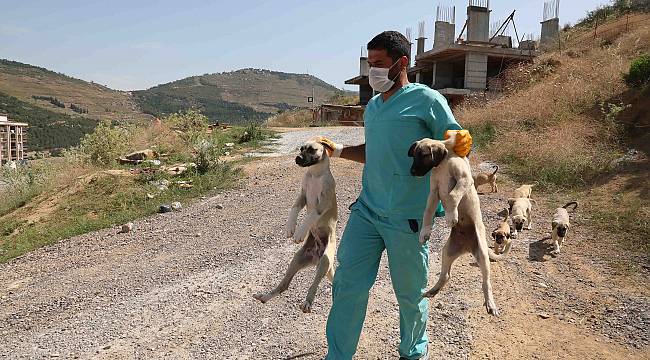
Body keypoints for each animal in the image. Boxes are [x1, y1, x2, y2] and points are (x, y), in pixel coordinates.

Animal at [252, 138, 336, 312]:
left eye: (312, 150)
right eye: (301, 148)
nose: (297, 158)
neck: (315, 174)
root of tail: (316, 256)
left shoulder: (322, 204)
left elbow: (310, 215)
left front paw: (300, 233)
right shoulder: (302, 196)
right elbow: (294, 209)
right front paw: (290, 228)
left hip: (324, 261)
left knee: (314, 284)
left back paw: (307, 302)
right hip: (296, 261)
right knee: (284, 286)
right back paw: (265, 296)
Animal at [408, 131, 498, 316]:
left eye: (424, 155)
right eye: (414, 155)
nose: (412, 172)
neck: (443, 163)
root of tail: (467, 246)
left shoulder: (464, 179)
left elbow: (452, 195)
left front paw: (452, 215)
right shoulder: (434, 192)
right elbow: (428, 212)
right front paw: (425, 231)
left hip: (482, 254)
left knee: (486, 282)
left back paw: (490, 303)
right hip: (447, 252)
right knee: (446, 275)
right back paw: (432, 290)